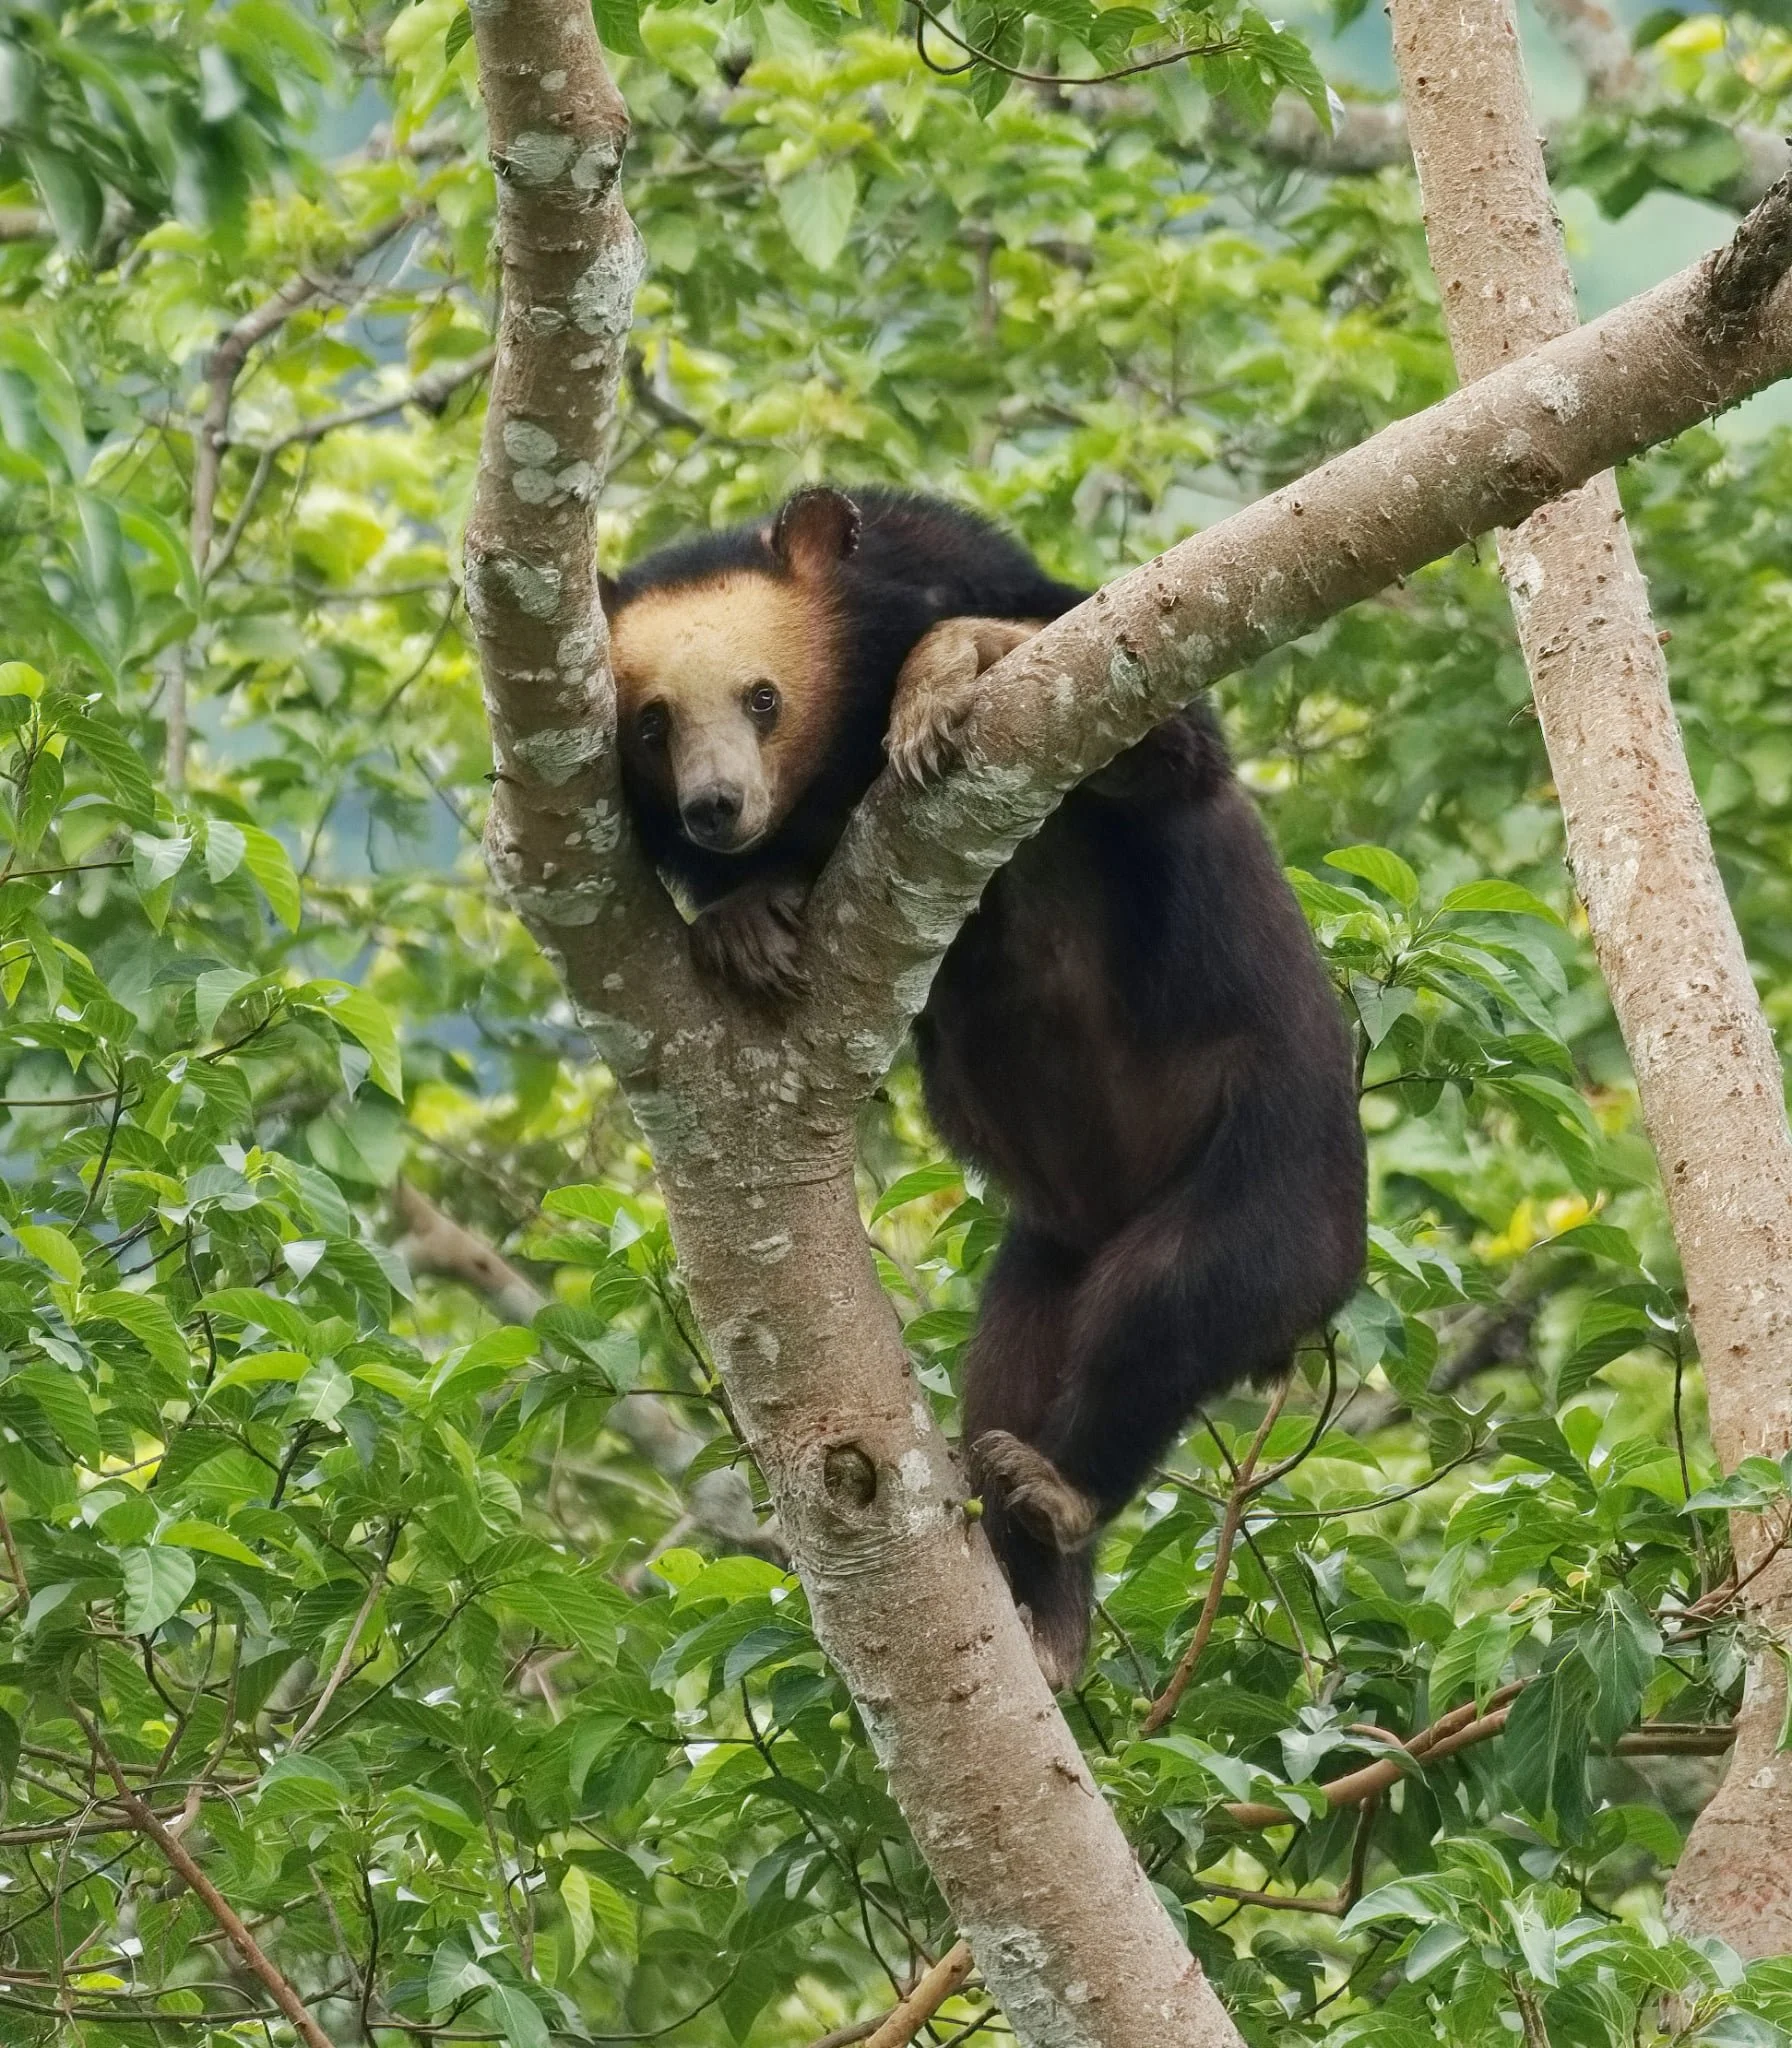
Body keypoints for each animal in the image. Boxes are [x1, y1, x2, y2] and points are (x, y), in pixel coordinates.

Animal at [604, 485, 1367, 1689]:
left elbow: (1170, 746)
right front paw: (743, 919)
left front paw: (942, 681)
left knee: (1176, 1295)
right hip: (1045, 1247)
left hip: (1276, 1176)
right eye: (650, 723)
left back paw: (1064, 1489)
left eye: (762, 697)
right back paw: (1043, 1611)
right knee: (1009, 1360)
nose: (715, 807)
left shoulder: (991, 581)